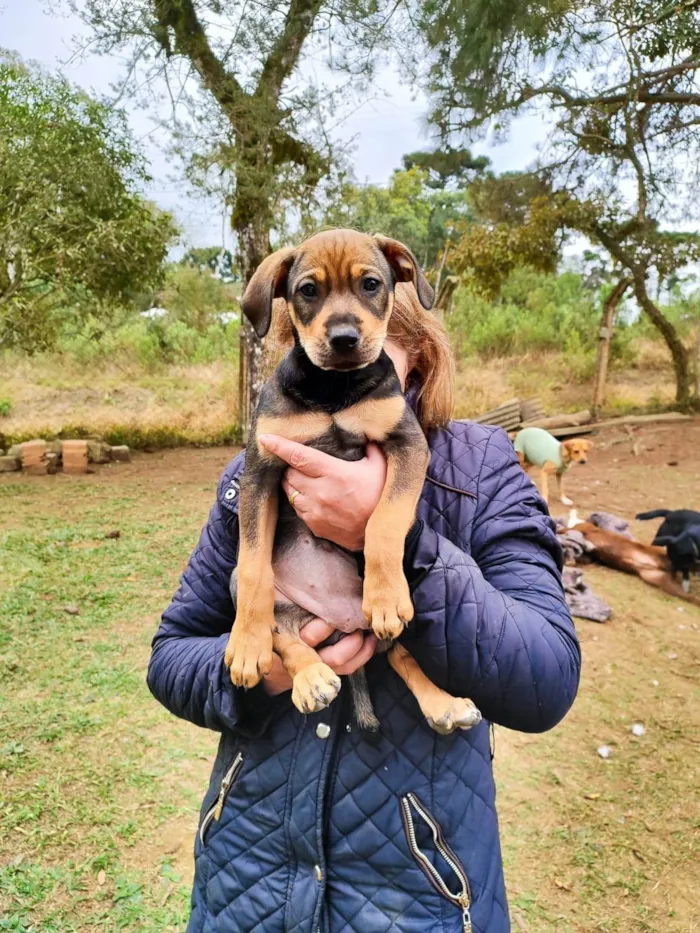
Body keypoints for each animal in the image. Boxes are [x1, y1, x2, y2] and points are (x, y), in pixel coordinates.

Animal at [224, 228, 482, 736]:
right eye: (308, 290)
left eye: (371, 284)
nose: (344, 339)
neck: (332, 390)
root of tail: (339, 619)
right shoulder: (260, 470)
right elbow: (253, 565)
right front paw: (245, 644)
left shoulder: (408, 444)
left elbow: (384, 522)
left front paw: (385, 598)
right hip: (262, 601)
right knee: (287, 639)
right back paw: (311, 679)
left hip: (386, 629)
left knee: (400, 652)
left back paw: (444, 704)